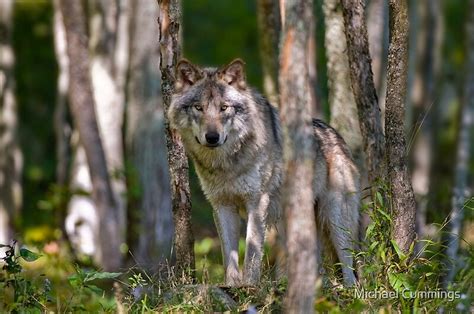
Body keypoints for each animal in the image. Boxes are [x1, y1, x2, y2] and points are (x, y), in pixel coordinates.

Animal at [168, 57, 362, 286]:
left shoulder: (257, 202)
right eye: (199, 108)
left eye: (224, 108)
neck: (227, 164)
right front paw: (232, 285)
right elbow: (229, 255)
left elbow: (252, 252)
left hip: (335, 218)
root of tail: (337, 137)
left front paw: (250, 286)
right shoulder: (222, 205)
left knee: (348, 265)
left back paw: (349, 289)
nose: (212, 137)